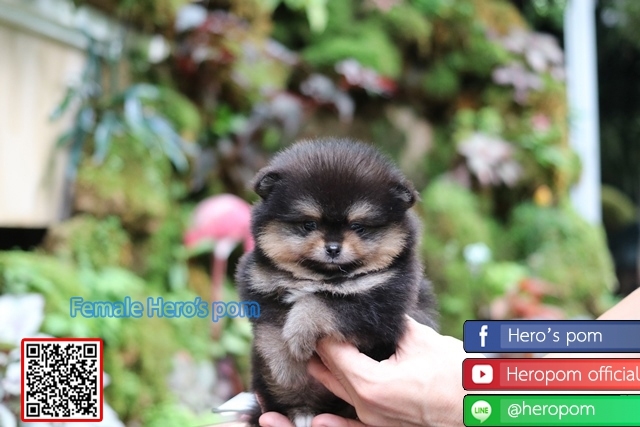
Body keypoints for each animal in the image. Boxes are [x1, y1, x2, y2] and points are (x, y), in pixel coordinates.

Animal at [236, 138, 438, 427]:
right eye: (309, 224)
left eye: (358, 227)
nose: (333, 248)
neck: (323, 276)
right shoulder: (259, 283)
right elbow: (270, 326)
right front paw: (286, 365)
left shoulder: (381, 303)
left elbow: (321, 302)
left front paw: (299, 332)